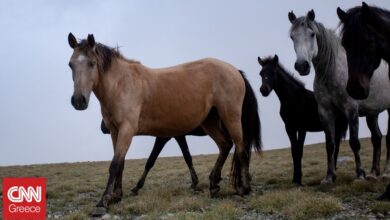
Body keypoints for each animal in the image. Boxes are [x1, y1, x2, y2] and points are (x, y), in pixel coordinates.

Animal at [67, 33, 262, 216]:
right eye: (70, 64)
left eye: (92, 63)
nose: (78, 101)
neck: (122, 84)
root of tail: (234, 70)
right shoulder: (116, 132)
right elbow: (120, 163)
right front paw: (116, 196)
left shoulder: (128, 131)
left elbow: (115, 164)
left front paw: (102, 202)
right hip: (210, 121)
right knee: (225, 145)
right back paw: (214, 184)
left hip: (231, 117)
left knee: (241, 148)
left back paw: (244, 188)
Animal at [258, 54, 348, 184]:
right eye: (261, 73)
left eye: (273, 72)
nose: (263, 90)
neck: (293, 99)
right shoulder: (289, 127)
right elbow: (294, 151)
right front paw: (295, 178)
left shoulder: (302, 128)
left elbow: (299, 151)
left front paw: (299, 179)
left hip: (337, 127)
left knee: (335, 148)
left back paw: (333, 174)